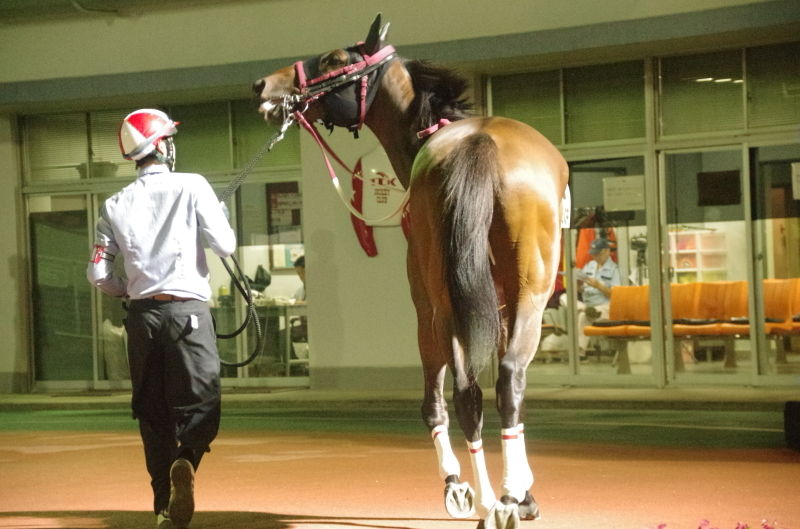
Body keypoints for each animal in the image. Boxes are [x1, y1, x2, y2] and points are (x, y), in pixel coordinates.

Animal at [255, 14, 568, 524]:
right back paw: (497, 498)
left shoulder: (456, 304)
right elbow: (442, 398)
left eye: (335, 59)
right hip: (516, 296)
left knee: (470, 391)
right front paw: (508, 490)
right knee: (502, 381)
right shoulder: (449, 305)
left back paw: (493, 497)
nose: (266, 84)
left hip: (454, 299)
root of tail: (479, 141)